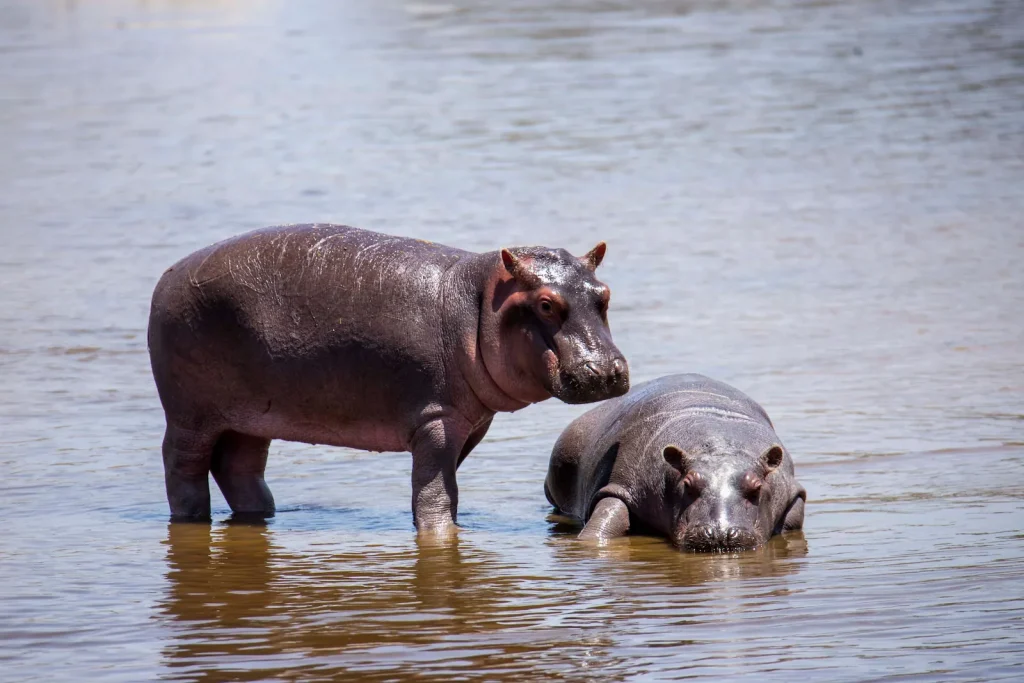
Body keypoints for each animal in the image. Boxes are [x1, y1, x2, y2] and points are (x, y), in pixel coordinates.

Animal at [148, 224, 628, 532]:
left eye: (604, 295)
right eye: (545, 304)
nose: (607, 372)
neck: (479, 301)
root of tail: (167, 276)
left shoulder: (471, 423)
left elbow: (442, 486)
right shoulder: (435, 421)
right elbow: (435, 491)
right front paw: (438, 529)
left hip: (251, 416)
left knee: (239, 467)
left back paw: (261, 515)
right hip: (189, 414)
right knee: (182, 466)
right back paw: (191, 518)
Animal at [545, 374, 805, 551]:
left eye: (757, 487)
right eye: (688, 484)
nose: (720, 534)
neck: (720, 445)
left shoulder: (792, 492)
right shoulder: (624, 484)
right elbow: (604, 519)